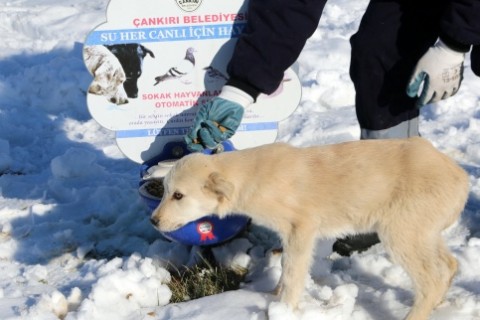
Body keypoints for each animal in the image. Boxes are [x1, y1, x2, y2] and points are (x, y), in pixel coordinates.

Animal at [151, 138, 468, 320]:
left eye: (178, 196)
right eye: (164, 191)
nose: (154, 221)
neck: (250, 177)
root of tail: (460, 176)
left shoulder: (301, 228)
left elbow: (293, 271)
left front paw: (284, 308)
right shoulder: (288, 233)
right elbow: (285, 267)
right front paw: (273, 294)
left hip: (402, 233)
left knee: (432, 279)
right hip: (423, 233)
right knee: (449, 265)